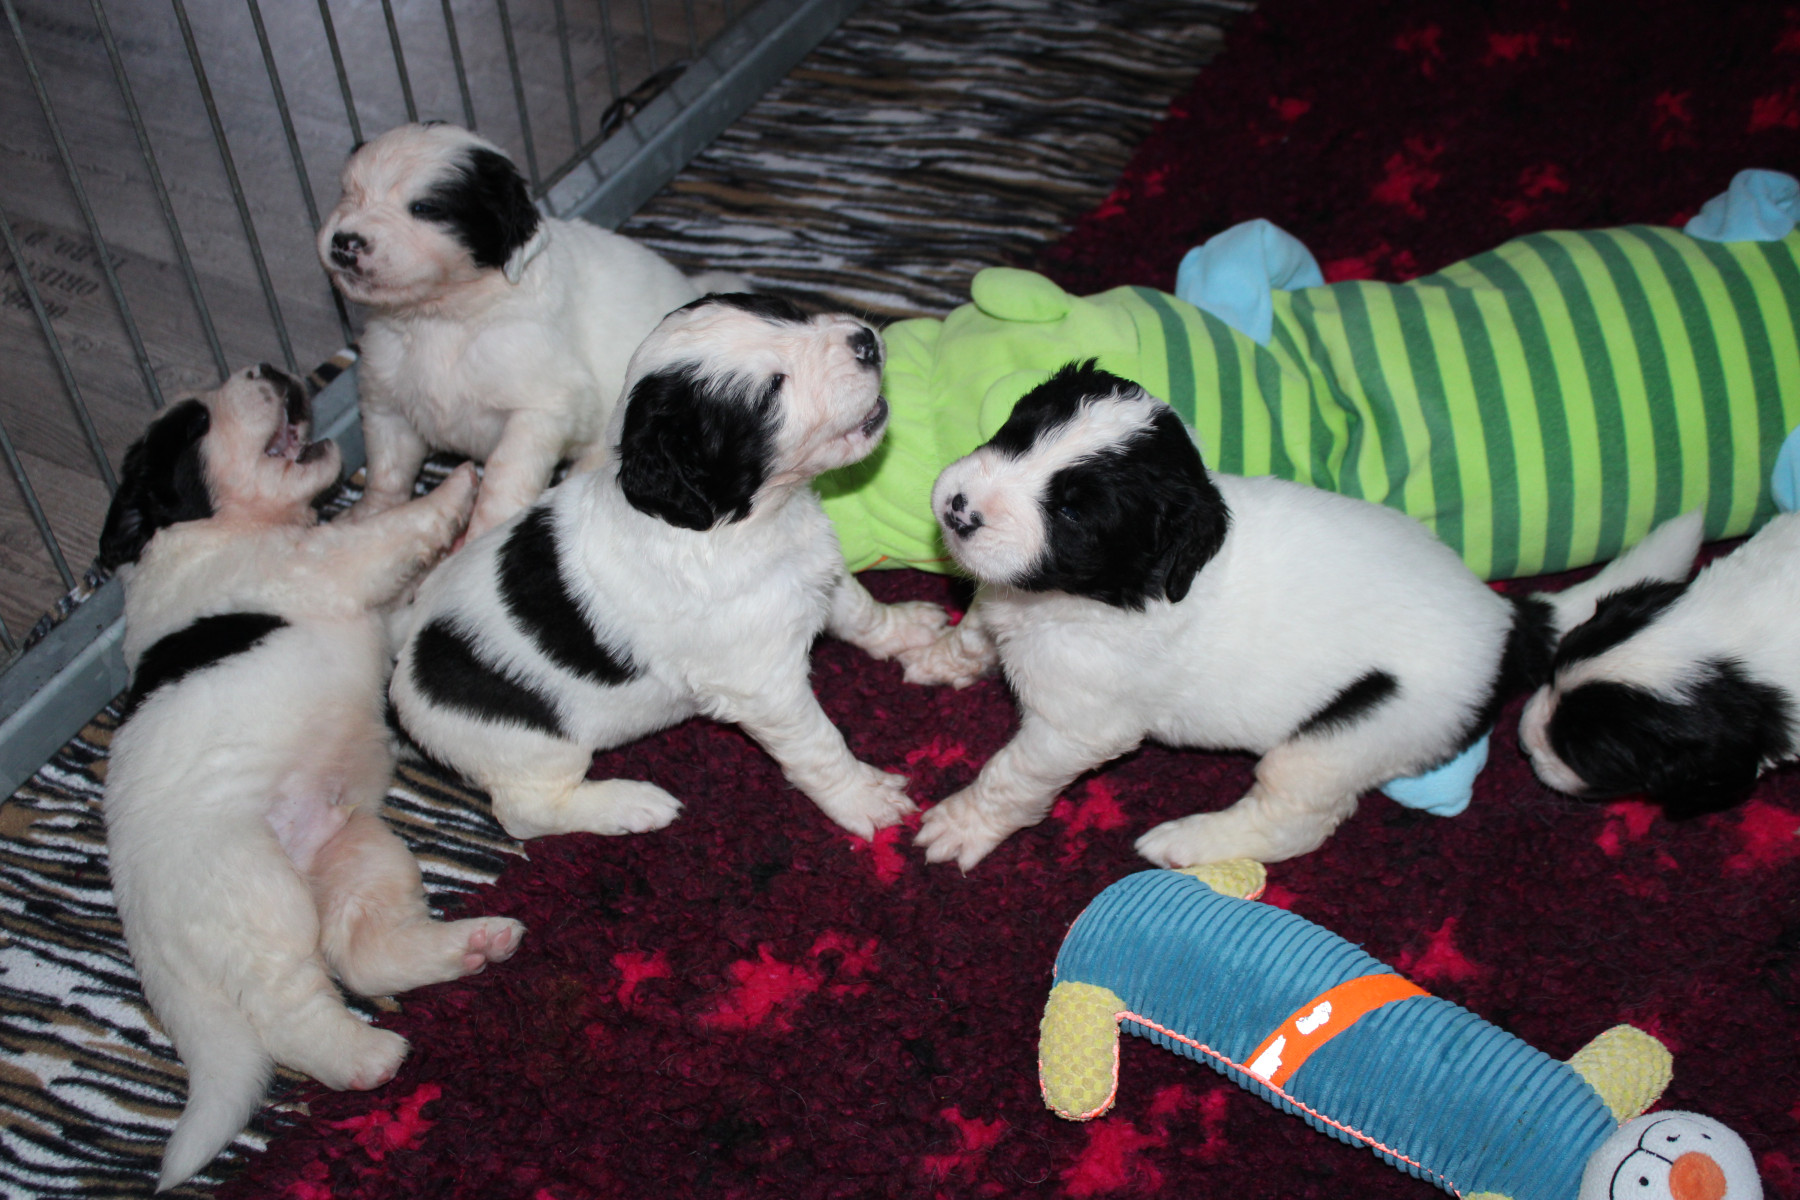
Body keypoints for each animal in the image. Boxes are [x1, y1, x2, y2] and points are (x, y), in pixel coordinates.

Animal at [97, 365, 525, 1190]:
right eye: (196, 422)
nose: (267, 370)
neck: (218, 531)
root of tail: (146, 937)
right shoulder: (320, 565)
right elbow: (381, 533)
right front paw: (457, 485)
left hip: (355, 850)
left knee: (359, 949)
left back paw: (472, 946)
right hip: (254, 896)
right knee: (288, 1005)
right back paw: (365, 1056)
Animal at [318, 122, 745, 540]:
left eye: (424, 208)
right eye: (348, 194)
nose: (344, 242)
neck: (439, 318)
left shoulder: (540, 409)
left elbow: (503, 477)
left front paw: (480, 536)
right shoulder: (386, 401)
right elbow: (385, 472)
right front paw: (365, 522)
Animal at [388, 294, 949, 843]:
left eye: (788, 313)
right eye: (771, 391)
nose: (865, 341)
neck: (735, 525)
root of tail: (403, 654)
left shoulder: (815, 574)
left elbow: (862, 612)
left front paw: (910, 629)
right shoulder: (763, 685)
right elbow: (819, 744)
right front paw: (863, 798)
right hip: (532, 748)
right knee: (527, 814)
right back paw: (631, 805)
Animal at [898, 362, 1694, 871]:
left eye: (1071, 511)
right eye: (1017, 430)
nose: (957, 510)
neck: (1099, 593)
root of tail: (1505, 620)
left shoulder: (1077, 726)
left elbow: (1011, 774)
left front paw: (964, 825)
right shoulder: (1003, 602)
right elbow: (974, 626)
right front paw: (932, 654)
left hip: (1338, 740)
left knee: (1297, 820)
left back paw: (1188, 844)